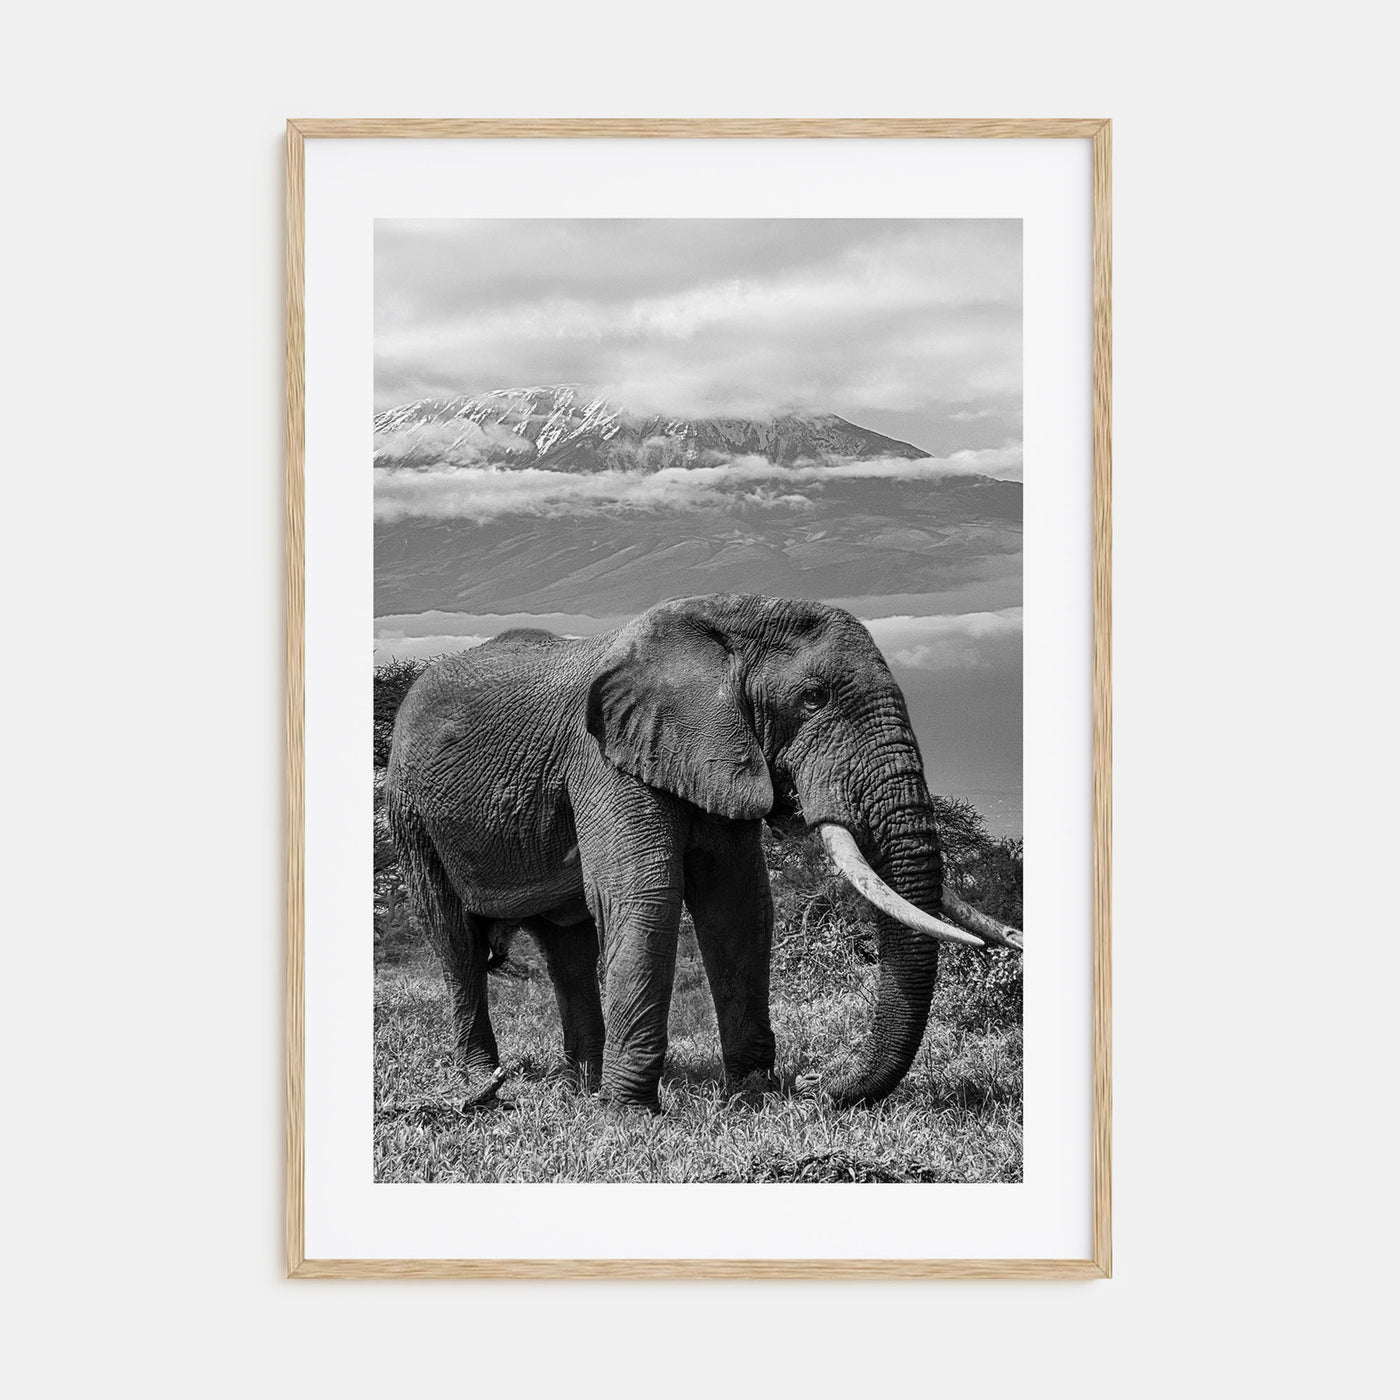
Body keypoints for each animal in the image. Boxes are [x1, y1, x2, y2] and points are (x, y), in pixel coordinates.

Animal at [386, 592, 1022, 1112]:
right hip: (411, 813)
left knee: (567, 946)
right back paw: (487, 1083)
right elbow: (645, 896)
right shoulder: (604, 759)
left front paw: (751, 1097)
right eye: (813, 699)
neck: (727, 621)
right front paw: (631, 1118)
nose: (817, 1084)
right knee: (455, 939)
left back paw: (582, 1087)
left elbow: (737, 905)